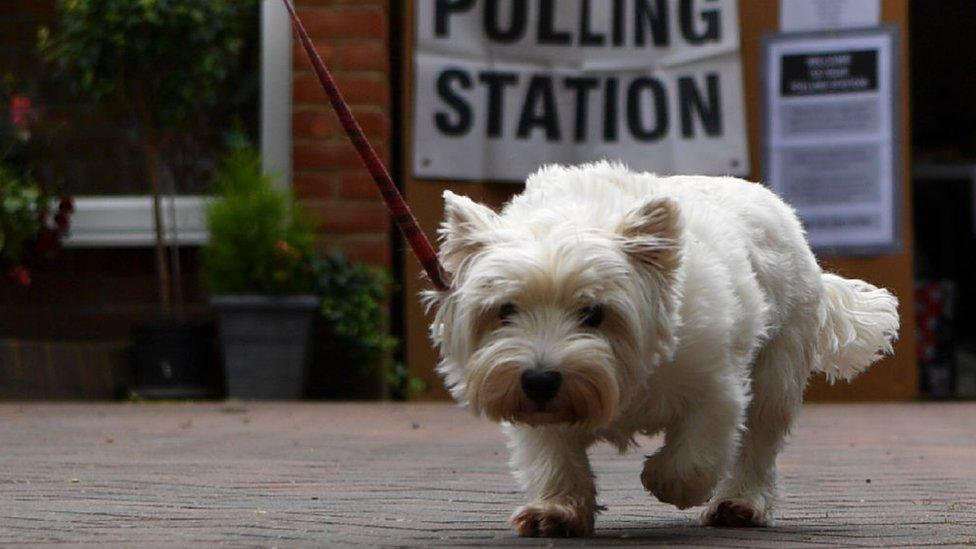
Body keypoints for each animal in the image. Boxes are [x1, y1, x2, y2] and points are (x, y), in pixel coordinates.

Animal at [426, 162, 900, 536]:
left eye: (594, 313)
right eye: (505, 310)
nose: (540, 380)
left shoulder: (716, 385)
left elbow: (695, 455)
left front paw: (665, 480)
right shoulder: (540, 409)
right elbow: (552, 454)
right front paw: (556, 510)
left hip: (777, 367)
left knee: (760, 439)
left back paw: (740, 503)